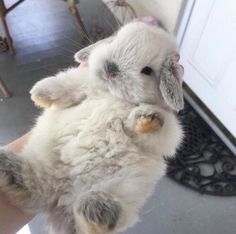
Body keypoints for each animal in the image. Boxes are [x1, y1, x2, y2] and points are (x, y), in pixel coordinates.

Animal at [0, 21, 184, 234]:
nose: (110, 68)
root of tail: (59, 196)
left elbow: (159, 129)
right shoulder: (80, 82)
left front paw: (148, 118)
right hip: (42, 164)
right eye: (114, 41)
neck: (111, 94)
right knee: (33, 185)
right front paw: (39, 94)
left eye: (147, 70)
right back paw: (7, 166)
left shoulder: (166, 131)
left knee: (90, 221)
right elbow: (64, 84)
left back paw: (97, 211)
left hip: (117, 187)